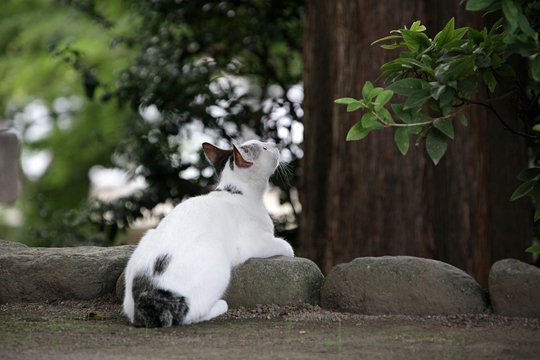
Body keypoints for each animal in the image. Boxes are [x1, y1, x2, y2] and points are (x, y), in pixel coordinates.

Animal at [123, 139, 296, 328]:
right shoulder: (254, 243)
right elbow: (285, 245)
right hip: (217, 261)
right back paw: (220, 306)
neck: (236, 193)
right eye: (264, 147)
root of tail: (145, 299)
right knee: (188, 315)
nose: (274, 144)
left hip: (147, 237)